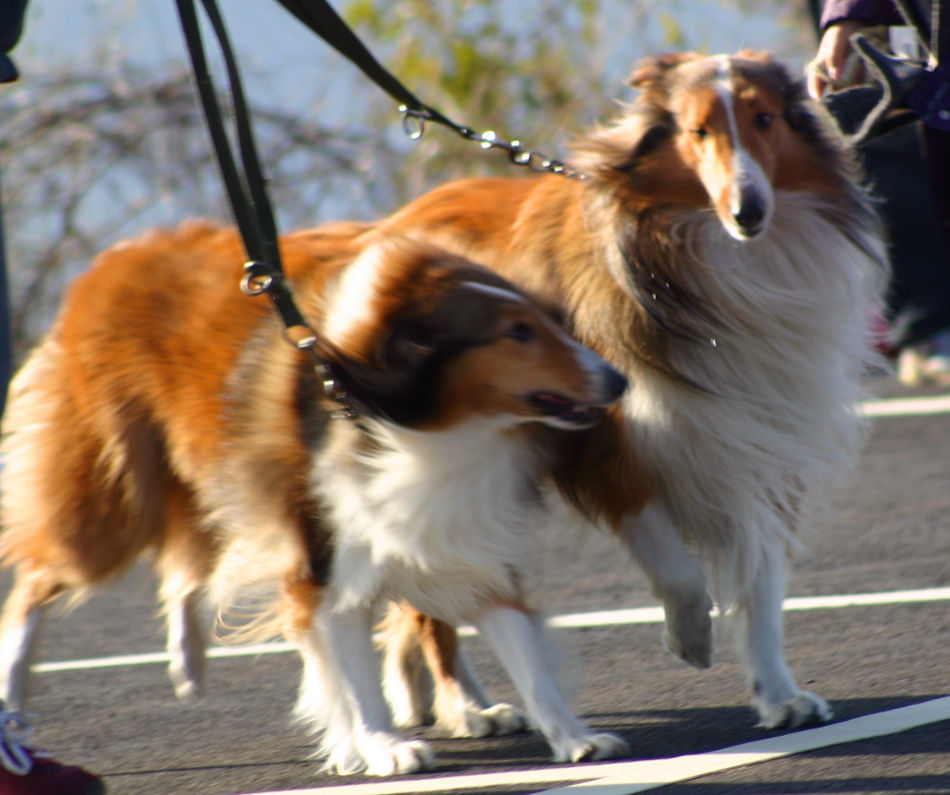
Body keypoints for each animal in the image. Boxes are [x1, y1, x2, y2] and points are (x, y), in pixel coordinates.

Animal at [0, 224, 632, 776]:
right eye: (516, 332)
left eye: (549, 320)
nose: (619, 381)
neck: (412, 426)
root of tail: (110, 262)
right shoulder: (325, 564)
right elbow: (354, 676)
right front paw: (383, 746)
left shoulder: (466, 539)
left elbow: (528, 660)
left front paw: (574, 737)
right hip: (111, 504)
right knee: (33, 584)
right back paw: (14, 696)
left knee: (181, 570)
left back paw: (190, 663)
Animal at [374, 52, 892, 732]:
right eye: (698, 131)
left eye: (765, 119)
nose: (748, 211)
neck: (707, 263)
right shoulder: (612, 447)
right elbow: (680, 571)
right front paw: (690, 638)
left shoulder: (764, 446)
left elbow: (761, 588)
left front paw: (780, 694)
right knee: (430, 609)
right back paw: (467, 707)